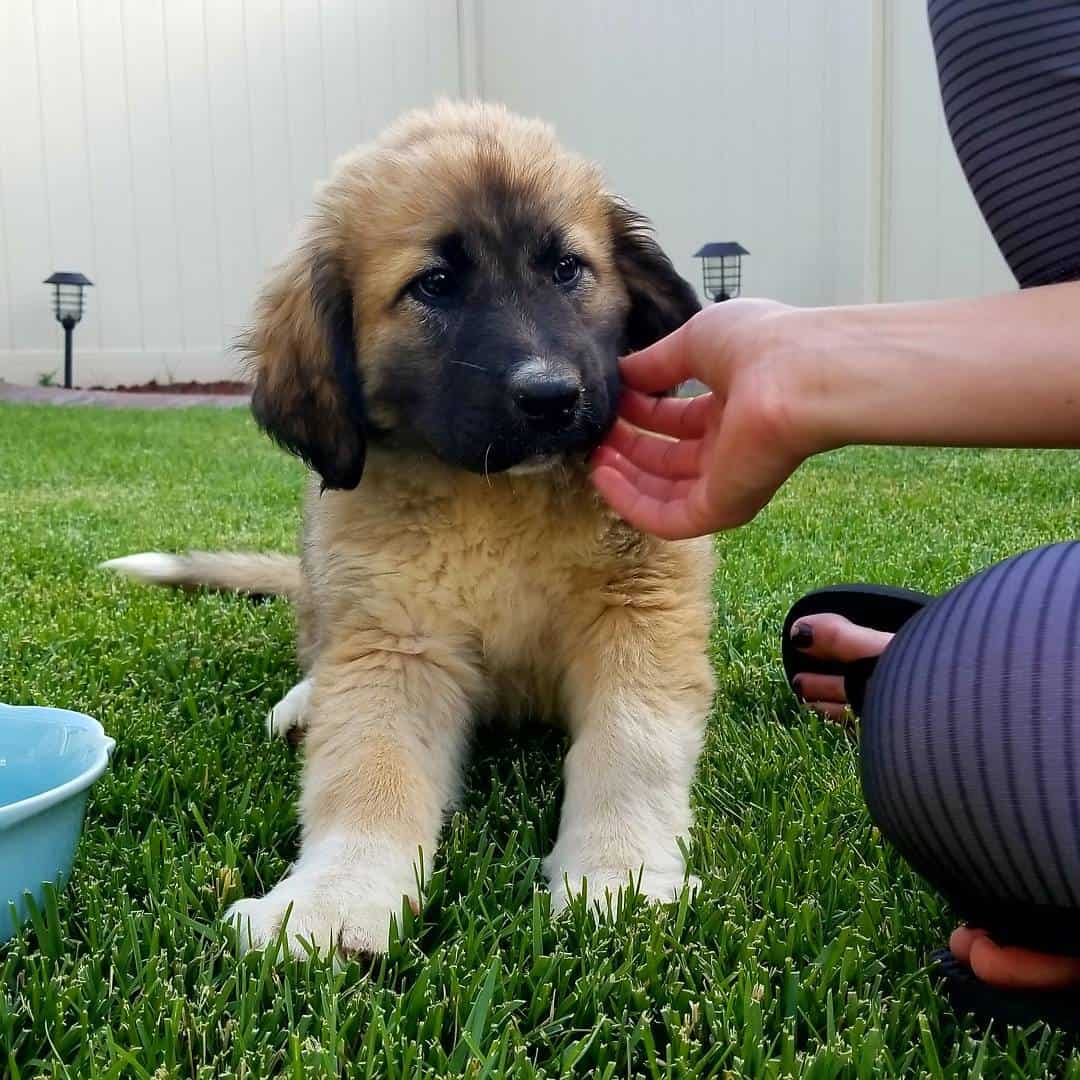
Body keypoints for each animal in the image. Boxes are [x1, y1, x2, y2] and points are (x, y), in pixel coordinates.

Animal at [105, 105, 712, 959]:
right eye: (435, 285)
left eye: (567, 269)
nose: (553, 397)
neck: (501, 504)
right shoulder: (395, 639)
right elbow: (369, 775)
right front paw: (333, 902)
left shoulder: (639, 612)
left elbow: (631, 750)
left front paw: (617, 877)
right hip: (325, 579)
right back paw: (305, 703)